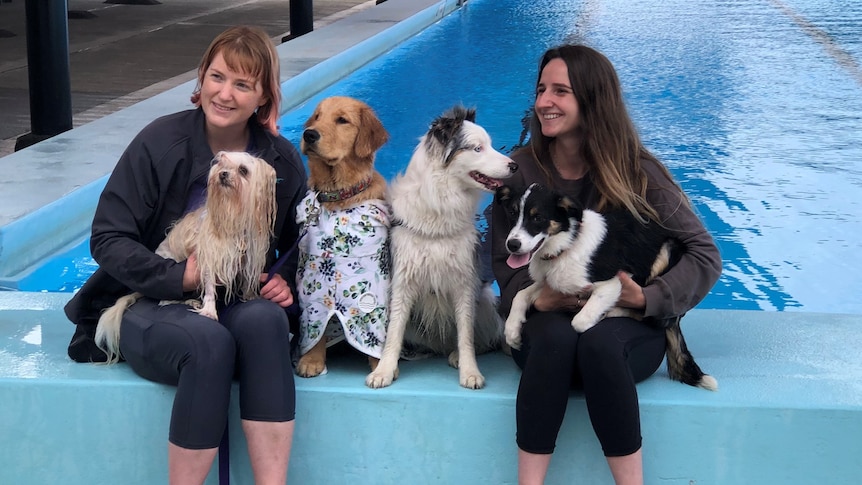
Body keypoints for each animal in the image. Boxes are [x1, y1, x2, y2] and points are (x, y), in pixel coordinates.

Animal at [94, 151, 276, 364]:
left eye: (243, 170)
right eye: (222, 164)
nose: (222, 174)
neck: (231, 212)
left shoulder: (247, 258)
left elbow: (246, 280)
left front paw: (249, 296)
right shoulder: (209, 260)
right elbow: (210, 290)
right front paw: (209, 310)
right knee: (168, 300)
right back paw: (190, 302)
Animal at [296, 94, 392, 376]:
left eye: (342, 120)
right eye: (317, 116)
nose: (309, 134)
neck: (337, 197)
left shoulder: (373, 284)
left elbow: (375, 330)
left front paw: (380, 365)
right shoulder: (312, 282)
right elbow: (315, 326)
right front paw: (312, 360)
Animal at [496, 182, 720, 390]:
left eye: (537, 217)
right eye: (512, 213)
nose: (512, 245)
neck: (567, 243)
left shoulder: (613, 283)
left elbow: (579, 321)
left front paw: (596, 315)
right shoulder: (550, 283)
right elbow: (520, 295)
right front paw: (512, 330)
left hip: (668, 248)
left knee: (653, 318)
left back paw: (612, 312)